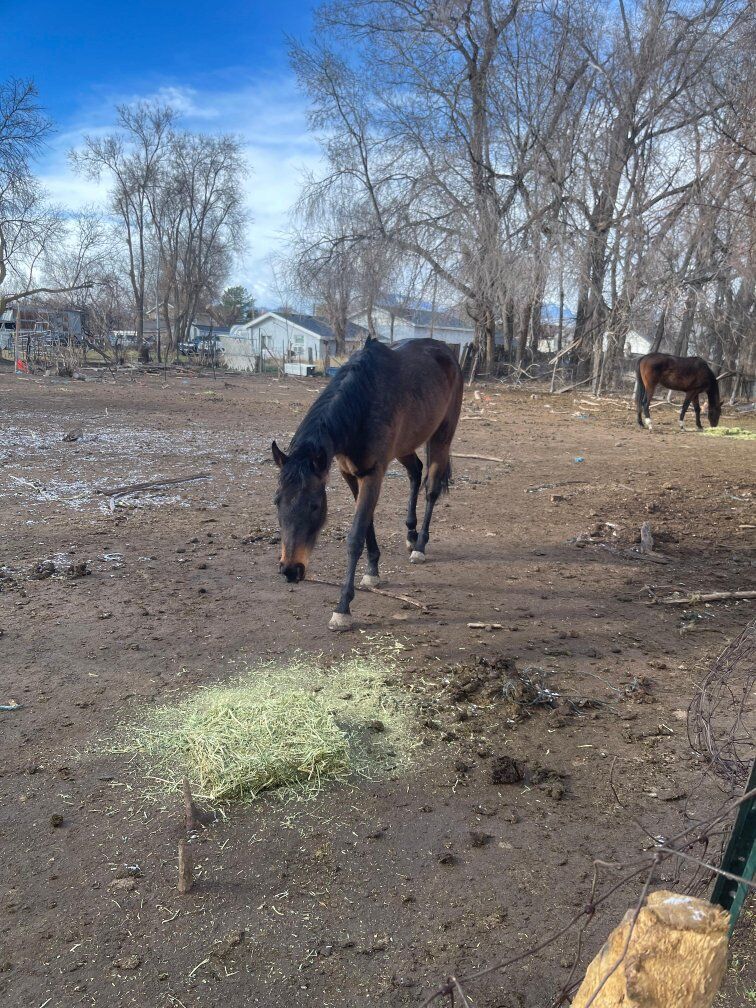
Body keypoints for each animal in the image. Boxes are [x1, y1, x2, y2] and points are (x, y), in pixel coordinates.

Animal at [271, 337, 463, 631]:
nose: (291, 570)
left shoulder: (373, 473)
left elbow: (355, 536)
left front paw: (343, 608)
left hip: (442, 435)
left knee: (431, 488)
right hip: (406, 444)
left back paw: (419, 546)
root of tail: (446, 351)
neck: (362, 403)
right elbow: (367, 524)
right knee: (415, 472)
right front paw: (373, 570)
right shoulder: (350, 473)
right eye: (277, 501)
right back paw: (410, 535)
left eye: (315, 505)